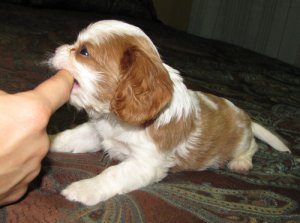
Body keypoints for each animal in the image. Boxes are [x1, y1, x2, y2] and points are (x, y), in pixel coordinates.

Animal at [49, 19, 290, 206]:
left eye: (84, 52)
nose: (57, 49)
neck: (114, 118)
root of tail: (243, 115)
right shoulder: (97, 134)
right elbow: (69, 136)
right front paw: (46, 139)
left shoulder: (147, 163)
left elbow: (113, 173)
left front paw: (84, 189)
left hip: (241, 141)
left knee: (253, 146)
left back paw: (241, 162)